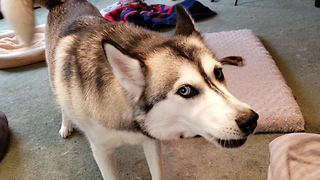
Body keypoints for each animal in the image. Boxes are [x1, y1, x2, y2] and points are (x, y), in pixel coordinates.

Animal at [1, 0, 258, 179]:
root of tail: (62, 2)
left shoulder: (151, 141)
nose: (251, 120)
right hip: (54, 74)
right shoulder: (102, 152)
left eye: (219, 73)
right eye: (185, 91)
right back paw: (66, 125)